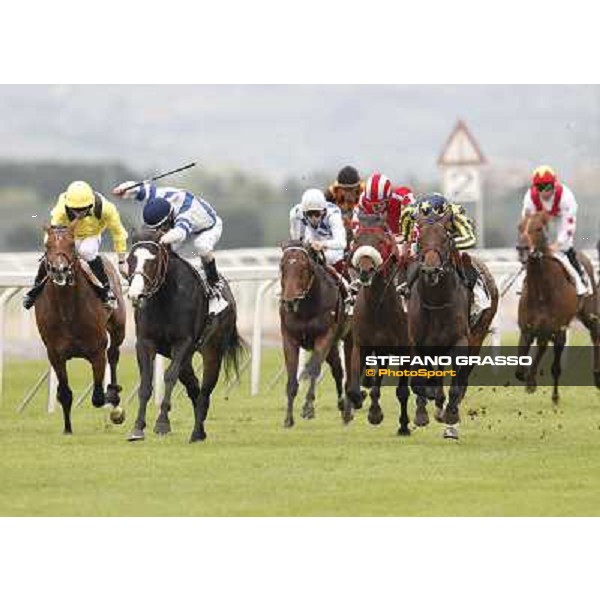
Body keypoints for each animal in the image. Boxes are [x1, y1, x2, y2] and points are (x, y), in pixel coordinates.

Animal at [34, 223, 126, 434]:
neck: (67, 310)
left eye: (71, 245)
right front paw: (67, 428)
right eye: (47, 246)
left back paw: (115, 394)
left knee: (114, 354)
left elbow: (98, 397)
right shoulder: (55, 354)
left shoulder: (97, 350)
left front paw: (113, 397)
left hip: (119, 328)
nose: (59, 269)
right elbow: (65, 393)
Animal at [126, 227, 246, 442]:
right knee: (194, 386)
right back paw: (201, 427)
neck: (165, 298)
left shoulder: (184, 342)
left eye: (153, 261)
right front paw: (138, 427)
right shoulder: (145, 342)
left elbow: (169, 377)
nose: (135, 295)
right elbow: (146, 382)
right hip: (185, 357)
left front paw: (162, 423)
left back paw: (197, 432)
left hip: (212, 351)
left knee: (205, 390)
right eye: (129, 259)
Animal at [280, 241, 352, 428]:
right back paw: (342, 405)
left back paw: (348, 411)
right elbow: (292, 378)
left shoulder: (324, 337)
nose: (289, 301)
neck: (307, 308)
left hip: (348, 338)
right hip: (333, 346)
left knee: (348, 371)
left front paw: (308, 407)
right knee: (338, 370)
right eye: (282, 266)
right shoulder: (289, 338)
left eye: (304, 267)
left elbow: (313, 369)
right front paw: (288, 418)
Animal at [344, 213, 410, 434]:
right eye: (356, 240)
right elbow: (354, 389)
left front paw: (403, 425)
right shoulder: (361, 345)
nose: (366, 271)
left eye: (381, 241)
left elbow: (403, 390)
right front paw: (367, 407)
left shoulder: (405, 348)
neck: (377, 308)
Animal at [516, 211, 600, 398]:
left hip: (589, 314)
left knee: (595, 334)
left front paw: (532, 380)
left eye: (539, 228)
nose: (522, 248)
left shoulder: (552, 327)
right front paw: (528, 378)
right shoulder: (527, 328)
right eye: (519, 226)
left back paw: (597, 375)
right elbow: (520, 368)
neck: (541, 291)